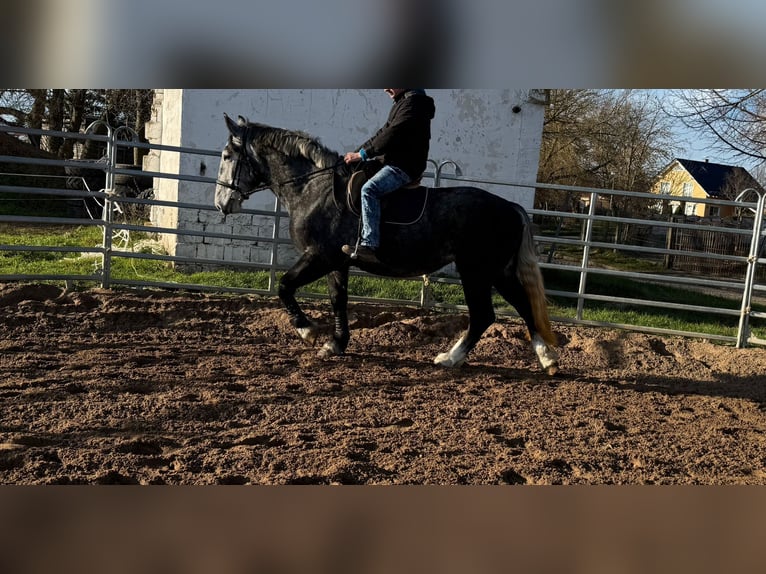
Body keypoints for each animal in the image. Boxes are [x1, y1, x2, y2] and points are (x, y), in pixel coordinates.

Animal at [213, 116, 560, 378]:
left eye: (227, 156)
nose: (221, 203)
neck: (313, 188)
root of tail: (510, 207)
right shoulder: (337, 263)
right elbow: (338, 300)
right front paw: (336, 343)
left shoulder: (319, 257)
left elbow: (284, 286)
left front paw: (307, 330)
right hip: (497, 271)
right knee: (521, 306)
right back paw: (547, 359)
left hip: (476, 271)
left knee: (484, 315)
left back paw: (451, 358)